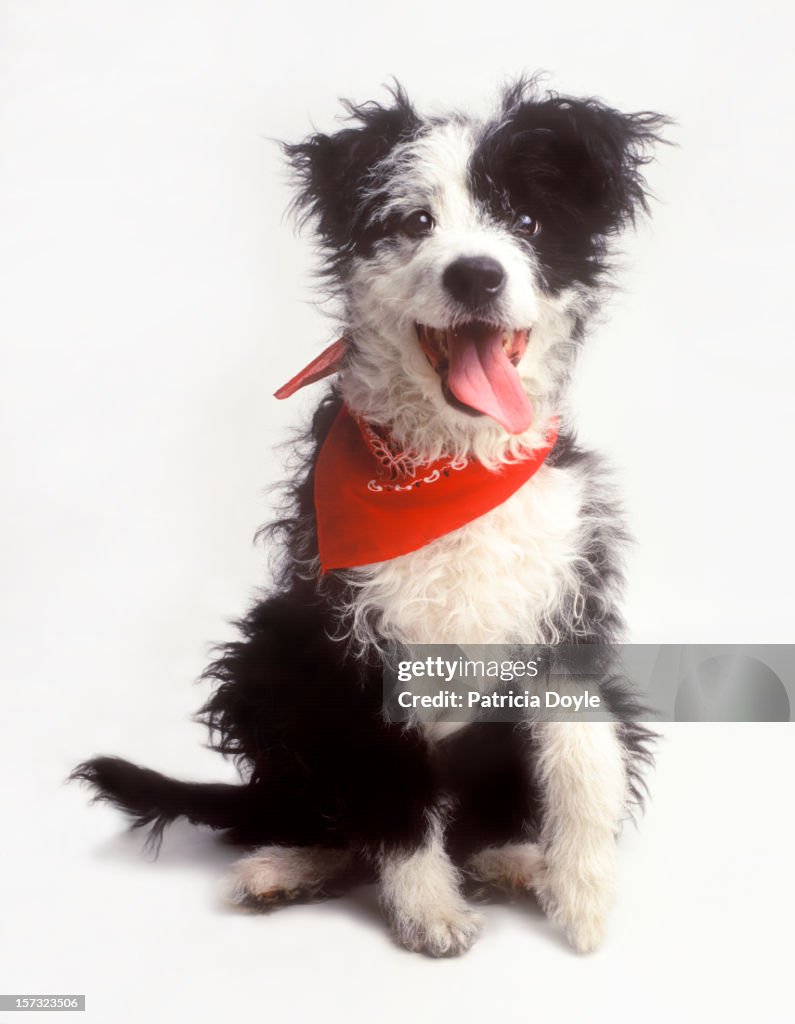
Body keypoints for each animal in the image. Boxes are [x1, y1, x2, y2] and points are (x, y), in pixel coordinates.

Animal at [74, 81, 667, 958]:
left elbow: (583, 760)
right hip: (264, 654)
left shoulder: (569, 602)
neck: (449, 464)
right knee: (336, 815)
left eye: (525, 222)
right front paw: (428, 912)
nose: (476, 275)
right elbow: (392, 797)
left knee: (481, 822)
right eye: (414, 220)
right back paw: (290, 866)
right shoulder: (348, 642)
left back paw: (514, 860)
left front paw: (583, 892)